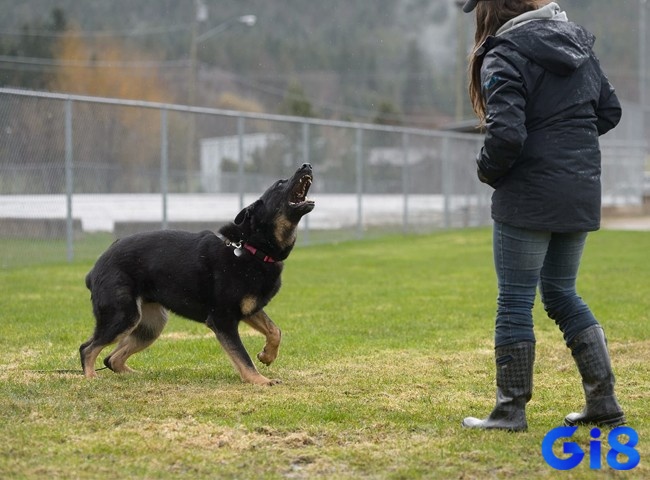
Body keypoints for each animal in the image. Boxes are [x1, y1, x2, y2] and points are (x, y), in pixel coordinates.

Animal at [81, 163, 314, 384]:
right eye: (280, 183)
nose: (307, 165)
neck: (251, 248)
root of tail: (94, 270)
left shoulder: (249, 310)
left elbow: (275, 331)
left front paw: (267, 356)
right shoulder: (223, 319)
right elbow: (242, 356)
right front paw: (259, 380)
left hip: (150, 325)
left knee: (111, 358)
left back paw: (134, 375)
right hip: (124, 316)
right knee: (87, 349)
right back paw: (91, 377)